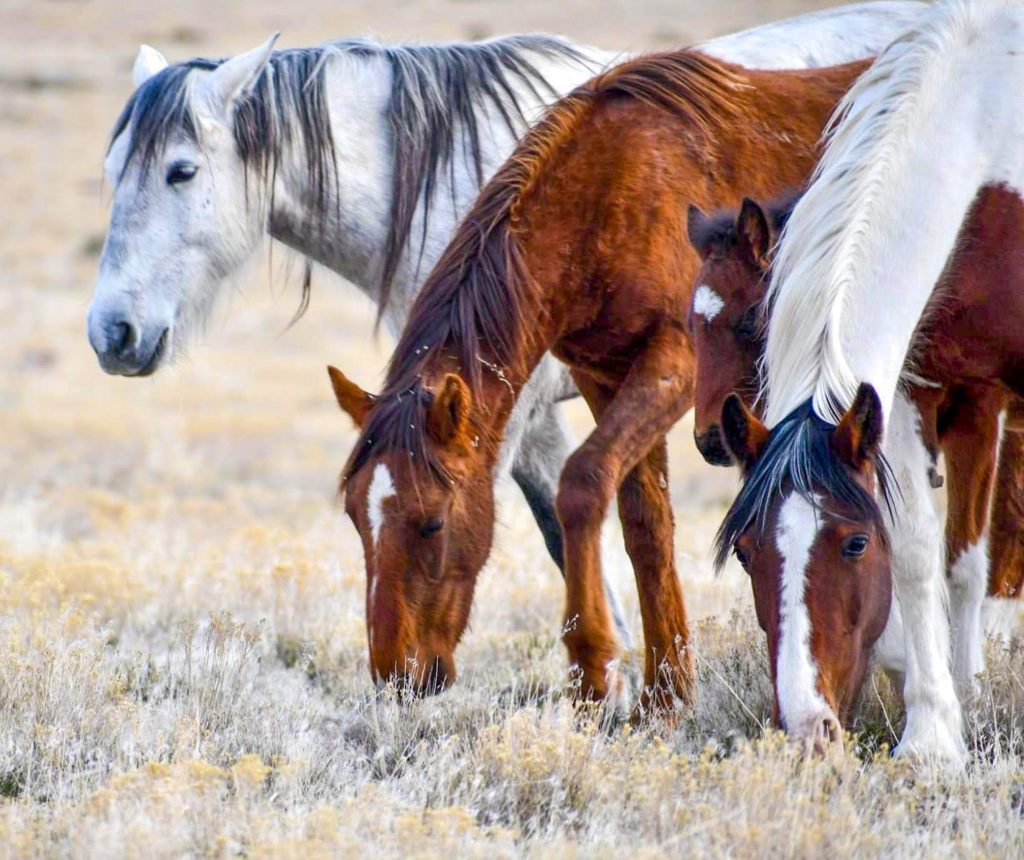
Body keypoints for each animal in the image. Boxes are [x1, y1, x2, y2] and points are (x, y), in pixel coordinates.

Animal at [323, 50, 868, 716]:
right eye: (357, 519)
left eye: (432, 523)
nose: (395, 676)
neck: (606, 193)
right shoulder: (604, 375)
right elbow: (645, 528)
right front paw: (666, 697)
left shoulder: (674, 363)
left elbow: (582, 483)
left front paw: (592, 670)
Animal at [716, 1, 1024, 765]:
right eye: (747, 552)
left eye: (854, 544)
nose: (808, 731)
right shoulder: (907, 392)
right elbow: (916, 549)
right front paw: (932, 737)